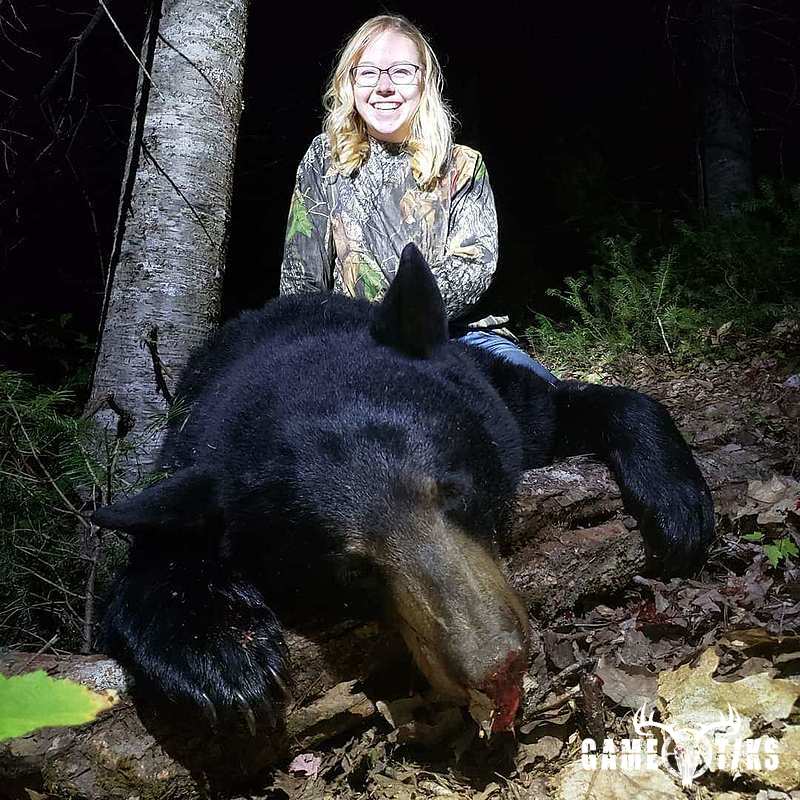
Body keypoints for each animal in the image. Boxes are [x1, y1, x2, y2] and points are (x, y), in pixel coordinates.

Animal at [93, 243, 714, 744]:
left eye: (455, 491)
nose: (495, 665)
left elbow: (597, 403)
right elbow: (153, 549)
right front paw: (222, 653)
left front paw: (680, 510)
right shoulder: (188, 460)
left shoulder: (503, 406)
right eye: (350, 568)